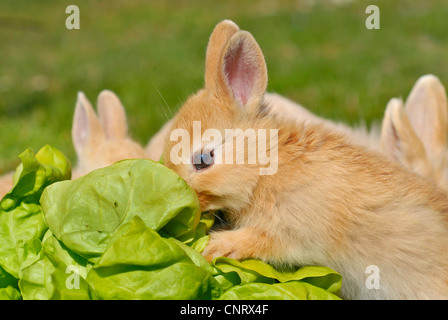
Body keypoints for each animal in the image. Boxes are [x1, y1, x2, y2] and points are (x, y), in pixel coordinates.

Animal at [162, 20, 448, 300]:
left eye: (202, 159)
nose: (183, 211)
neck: (265, 168)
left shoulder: (294, 229)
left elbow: (265, 240)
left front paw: (215, 246)